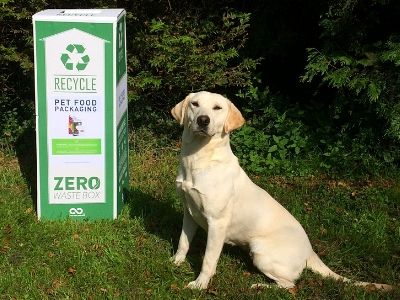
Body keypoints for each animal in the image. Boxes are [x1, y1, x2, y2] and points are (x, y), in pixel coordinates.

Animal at [170, 91, 392, 290]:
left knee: (290, 285)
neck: (198, 158)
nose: (203, 120)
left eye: (217, 108)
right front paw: (175, 262)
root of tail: (310, 251)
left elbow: (208, 260)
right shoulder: (189, 212)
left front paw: (200, 284)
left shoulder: (217, 223)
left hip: (260, 252)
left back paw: (260, 286)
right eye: (195, 104)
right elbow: (183, 242)